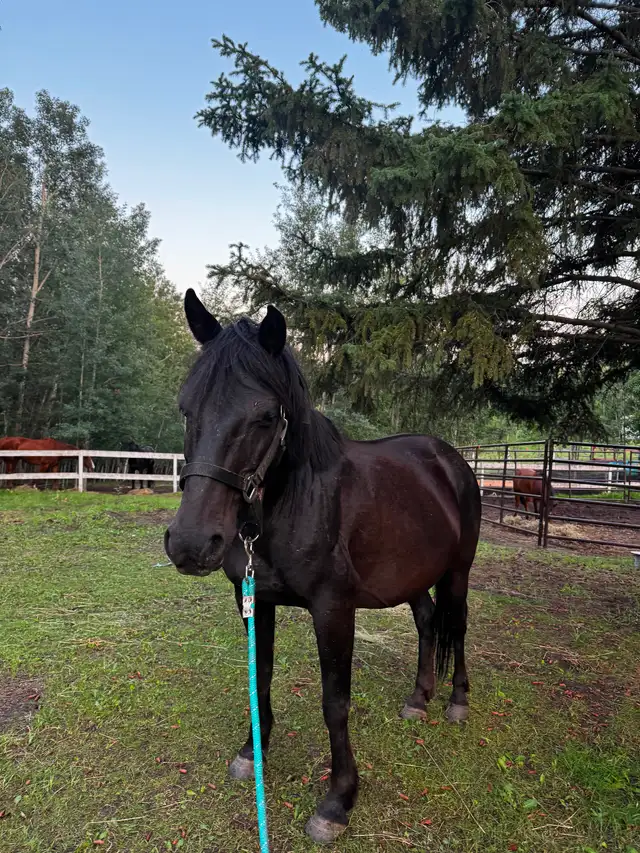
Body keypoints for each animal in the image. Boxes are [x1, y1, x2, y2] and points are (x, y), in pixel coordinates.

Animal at [164, 290, 482, 845]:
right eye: (187, 407)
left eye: (265, 416)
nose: (190, 543)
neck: (292, 503)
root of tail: (451, 459)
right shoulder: (253, 598)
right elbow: (260, 675)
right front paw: (252, 753)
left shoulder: (333, 610)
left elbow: (335, 701)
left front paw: (338, 800)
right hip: (413, 576)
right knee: (426, 622)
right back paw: (418, 699)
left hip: (458, 573)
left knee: (456, 628)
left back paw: (455, 702)